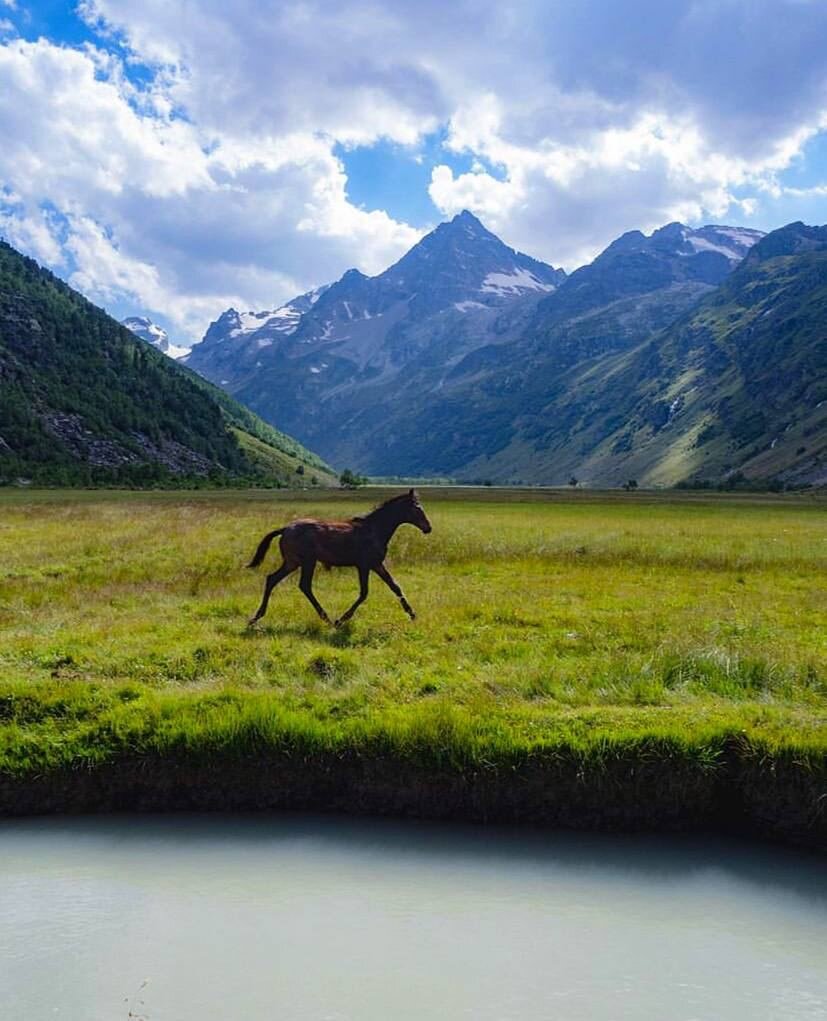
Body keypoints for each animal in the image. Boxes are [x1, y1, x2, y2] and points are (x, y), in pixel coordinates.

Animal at [245, 490, 430, 624]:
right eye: (417, 508)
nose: (428, 528)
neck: (374, 530)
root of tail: (285, 529)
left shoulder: (377, 564)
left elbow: (395, 587)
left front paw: (412, 614)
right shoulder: (364, 566)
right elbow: (364, 593)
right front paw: (341, 620)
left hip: (292, 562)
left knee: (272, 579)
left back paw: (257, 616)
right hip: (307, 562)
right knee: (304, 585)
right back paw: (326, 618)